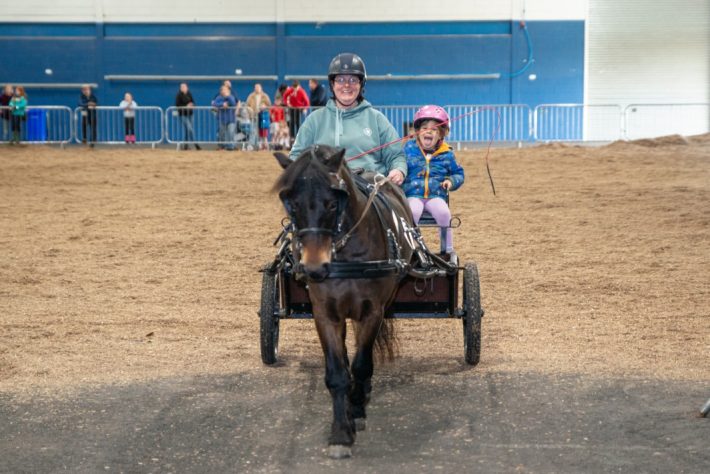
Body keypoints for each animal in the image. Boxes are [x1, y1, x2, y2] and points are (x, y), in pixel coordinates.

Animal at [274, 145, 418, 460]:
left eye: (332, 203)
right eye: (292, 204)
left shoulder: (372, 311)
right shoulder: (325, 314)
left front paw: (357, 410)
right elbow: (337, 374)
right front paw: (341, 432)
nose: (314, 267)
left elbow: (362, 364)